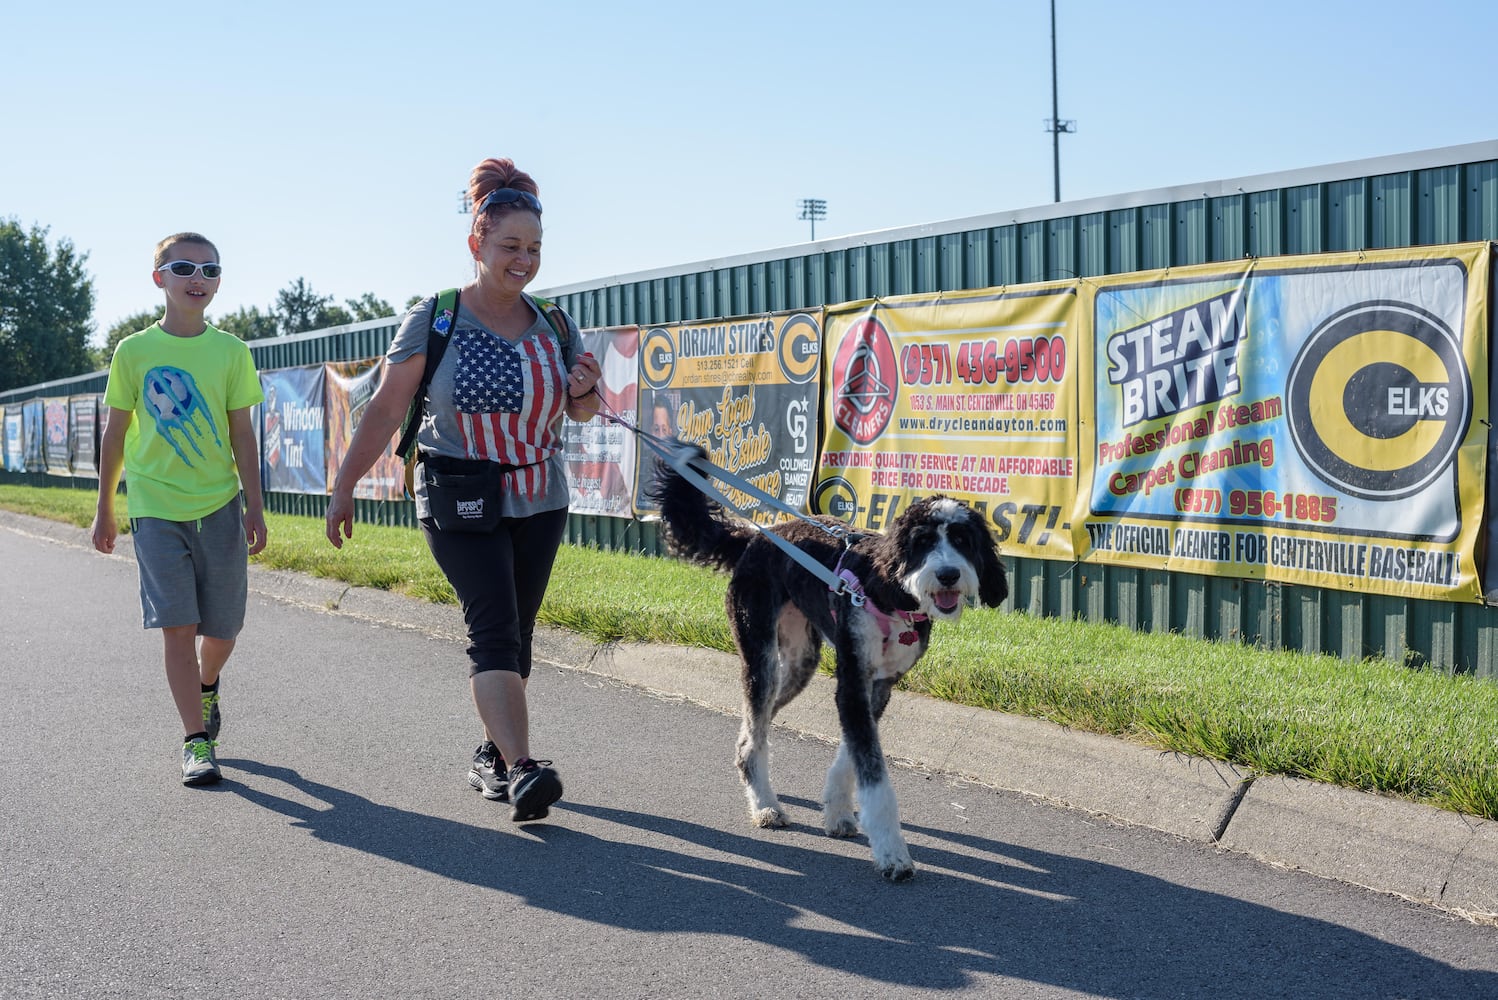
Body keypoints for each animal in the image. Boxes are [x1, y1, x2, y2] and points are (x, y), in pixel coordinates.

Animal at [653, 452, 1006, 880]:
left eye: (962, 540)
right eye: (922, 542)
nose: (948, 574)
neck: (891, 594)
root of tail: (757, 536)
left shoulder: (878, 686)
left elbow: (852, 757)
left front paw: (838, 811)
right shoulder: (852, 684)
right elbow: (873, 774)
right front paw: (892, 852)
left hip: (800, 662)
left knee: (754, 726)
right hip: (760, 656)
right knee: (756, 728)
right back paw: (765, 804)